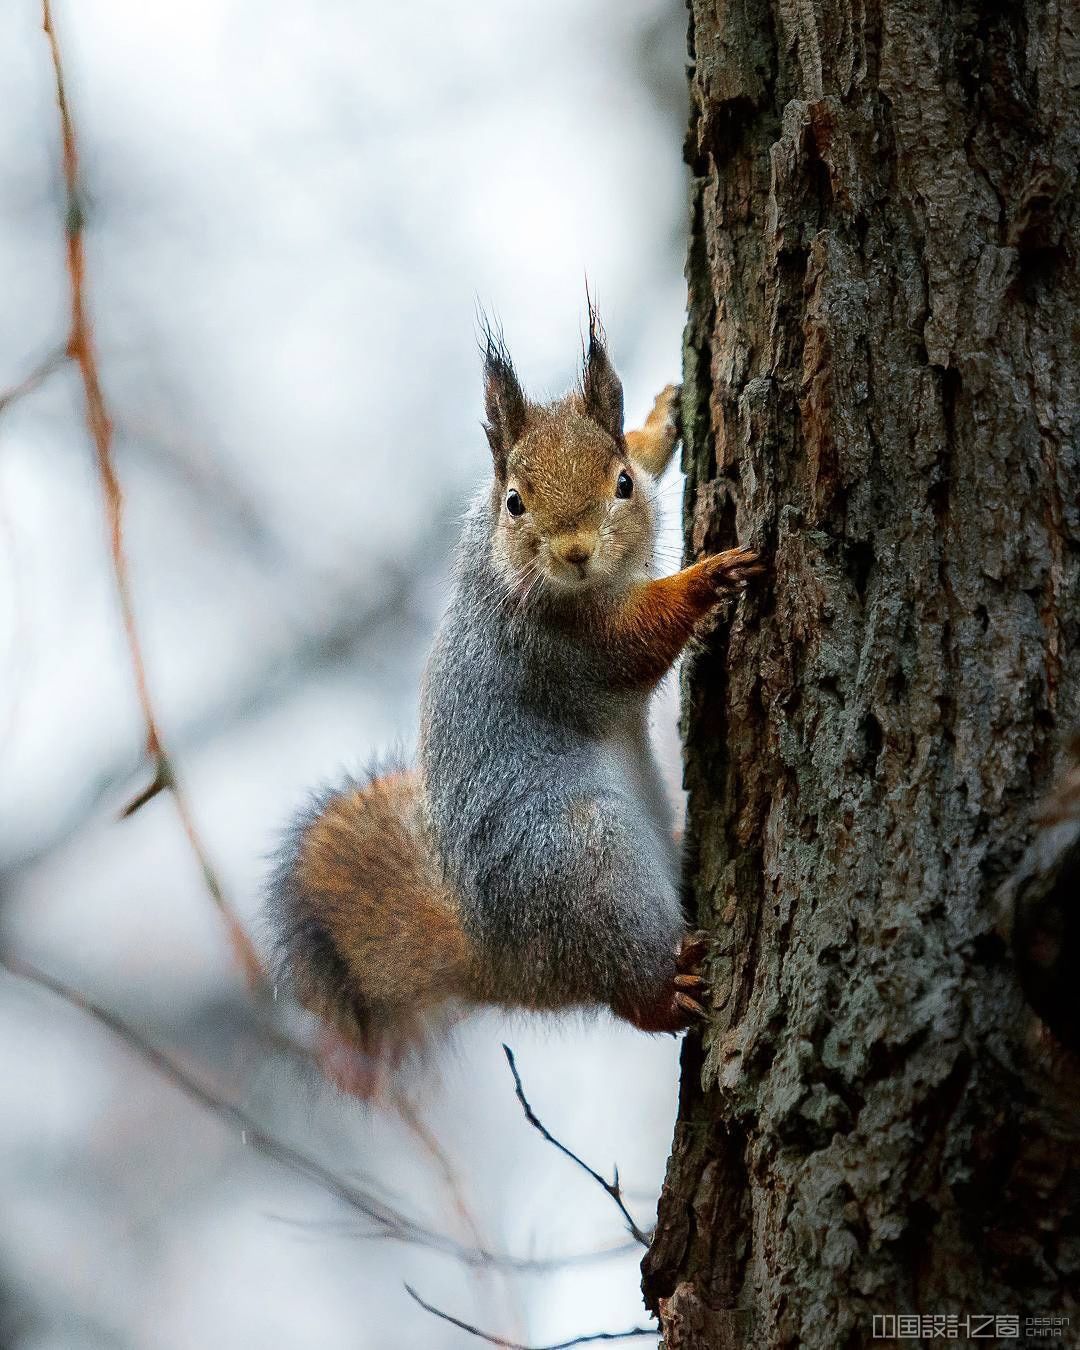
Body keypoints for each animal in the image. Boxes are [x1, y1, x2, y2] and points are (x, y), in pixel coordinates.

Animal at [265, 309, 761, 1096]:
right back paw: (669, 985)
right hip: (587, 865)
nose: (575, 552)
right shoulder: (556, 648)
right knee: (628, 993)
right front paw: (705, 578)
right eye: (516, 502)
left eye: (622, 482)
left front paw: (660, 419)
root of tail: (501, 961)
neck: (508, 565)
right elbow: (637, 640)